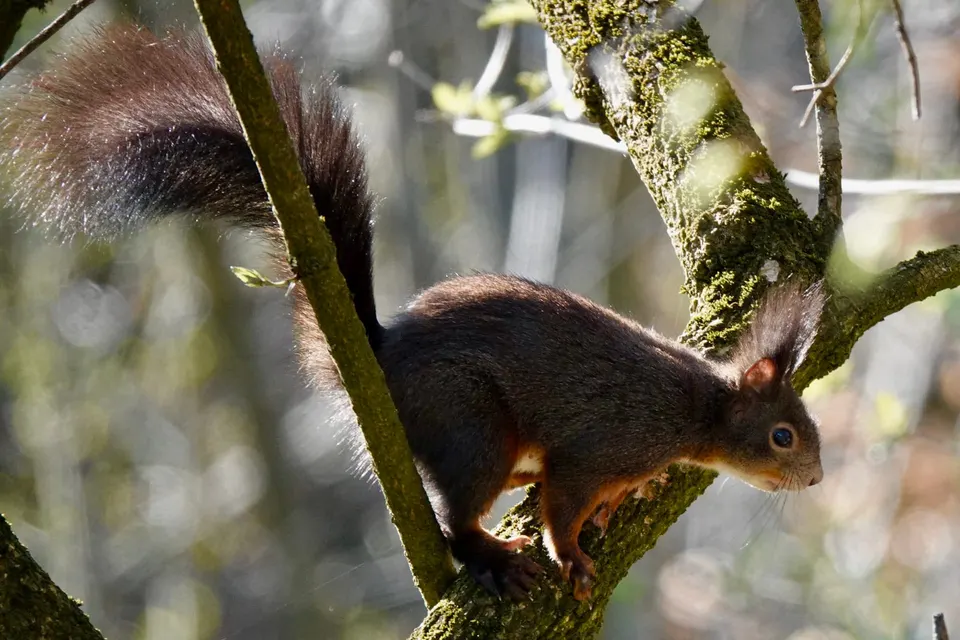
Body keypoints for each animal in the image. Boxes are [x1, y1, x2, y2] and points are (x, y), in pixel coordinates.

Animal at [1, 24, 825, 602]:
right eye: (783, 435)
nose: (816, 480)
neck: (696, 408)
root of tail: (379, 358)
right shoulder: (602, 445)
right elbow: (563, 501)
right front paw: (571, 554)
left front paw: (628, 500)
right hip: (468, 421)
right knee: (460, 517)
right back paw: (492, 556)